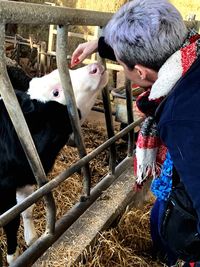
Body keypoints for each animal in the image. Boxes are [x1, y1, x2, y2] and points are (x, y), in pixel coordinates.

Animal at [0, 63, 108, 266]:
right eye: (56, 93)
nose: (96, 66)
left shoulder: (28, 177)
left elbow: (27, 208)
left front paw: (32, 239)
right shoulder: (5, 188)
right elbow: (11, 221)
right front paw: (13, 256)